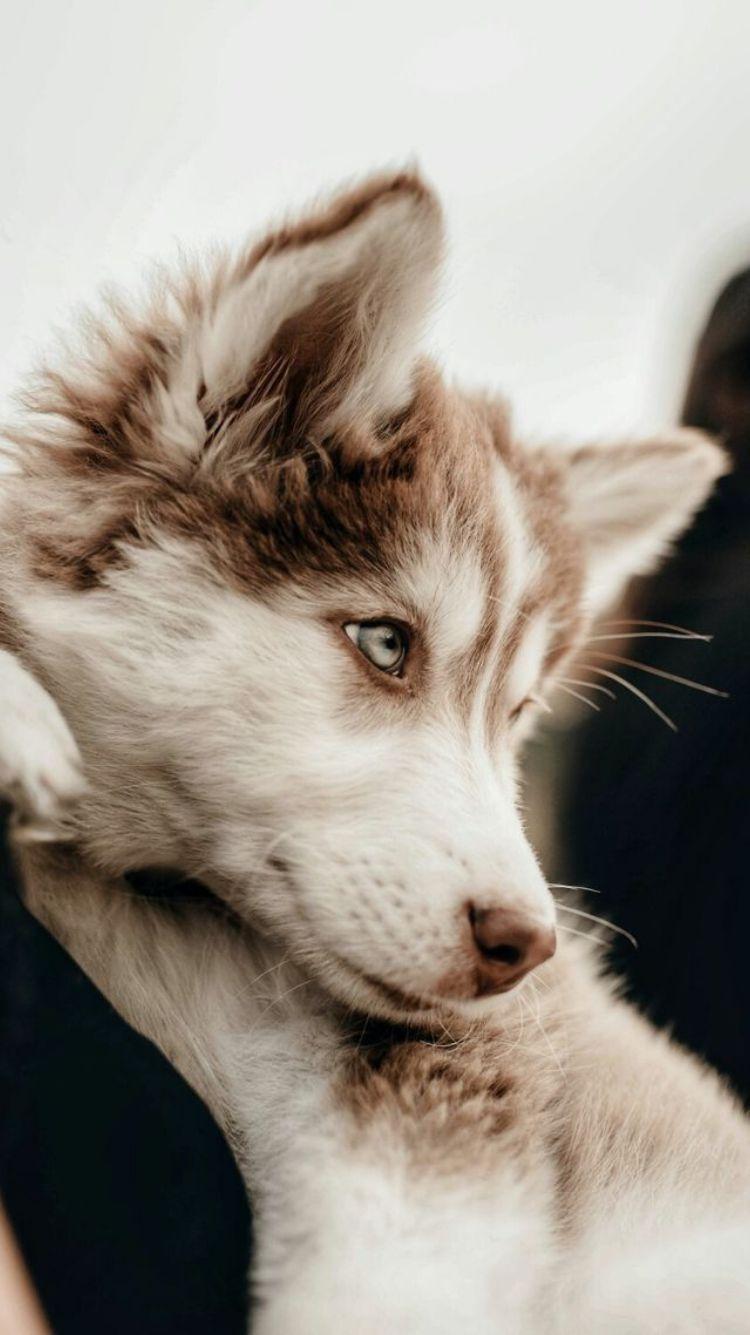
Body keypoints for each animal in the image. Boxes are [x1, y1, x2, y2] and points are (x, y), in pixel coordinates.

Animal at [1, 172, 749, 1333]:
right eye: (387, 643)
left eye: (516, 712)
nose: (525, 944)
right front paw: (20, 714)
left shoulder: (464, 1082)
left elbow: (388, 1284)